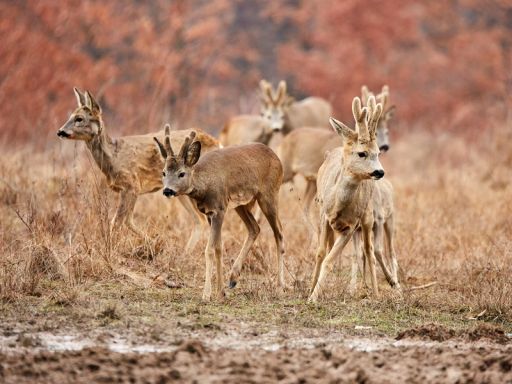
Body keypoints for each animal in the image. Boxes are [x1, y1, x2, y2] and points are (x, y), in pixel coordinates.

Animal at [56, 87, 220, 250]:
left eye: (79, 118)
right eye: (71, 116)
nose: (60, 131)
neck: (114, 158)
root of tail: (217, 142)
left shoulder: (131, 185)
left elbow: (119, 221)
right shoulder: (127, 189)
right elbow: (127, 221)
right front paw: (154, 243)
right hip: (182, 191)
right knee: (199, 220)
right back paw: (185, 253)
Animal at [154, 130, 286, 302]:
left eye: (181, 173)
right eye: (163, 172)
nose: (167, 190)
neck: (205, 185)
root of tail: (277, 158)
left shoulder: (219, 209)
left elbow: (210, 249)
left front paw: (206, 294)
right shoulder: (210, 213)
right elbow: (219, 247)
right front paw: (221, 292)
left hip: (269, 194)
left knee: (279, 232)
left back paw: (280, 287)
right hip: (242, 204)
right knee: (255, 228)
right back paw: (233, 278)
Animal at [308, 95, 384, 300]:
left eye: (378, 153)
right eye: (362, 153)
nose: (380, 172)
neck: (337, 205)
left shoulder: (350, 226)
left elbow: (330, 260)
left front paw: (313, 297)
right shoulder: (323, 216)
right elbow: (320, 253)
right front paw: (310, 289)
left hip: (367, 216)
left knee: (369, 251)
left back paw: (375, 293)